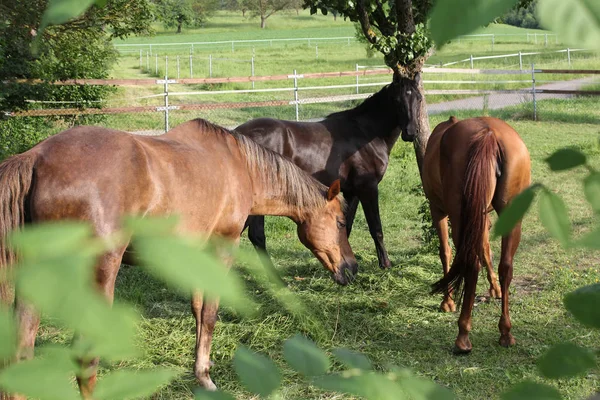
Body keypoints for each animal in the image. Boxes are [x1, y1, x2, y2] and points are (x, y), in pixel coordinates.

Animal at [0, 118, 356, 396]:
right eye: (341, 221)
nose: (351, 268)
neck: (240, 165)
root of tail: (36, 158)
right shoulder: (223, 246)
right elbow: (210, 314)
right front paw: (208, 377)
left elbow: (197, 310)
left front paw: (199, 374)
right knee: (85, 360)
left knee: (20, 355)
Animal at [234, 74, 422, 268]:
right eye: (397, 100)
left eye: (419, 98)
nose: (411, 132)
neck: (365, 134)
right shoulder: (368, 188)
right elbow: (376, 228)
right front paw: (385, 264)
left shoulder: (351, 192)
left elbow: (345, 227)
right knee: (255, 235)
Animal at [424, 115, 532, 354]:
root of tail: (488, 134)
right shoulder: (482, 217)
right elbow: (486, 249)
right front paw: (495, 288)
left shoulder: (438, 211)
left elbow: (445, 252)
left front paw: (448, 301)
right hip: (510, 214)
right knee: (506, 266)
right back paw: (505, 332)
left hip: (458, 215)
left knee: (470, 263)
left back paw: (463, 335)